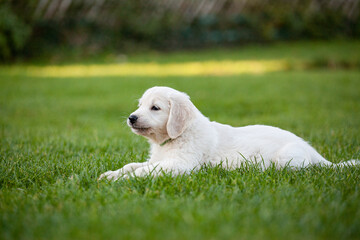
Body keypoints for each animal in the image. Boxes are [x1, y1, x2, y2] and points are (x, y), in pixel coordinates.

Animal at [98, 86, 358, 180]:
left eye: (155, 108)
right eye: (140, 105)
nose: (131, 118)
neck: (177, 136)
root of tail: (316, 155)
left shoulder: (181, 165)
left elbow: (143, 171)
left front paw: (117, 180)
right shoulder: (158, 159)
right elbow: (133, 165)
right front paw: (111, 174)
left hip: (288, 159)